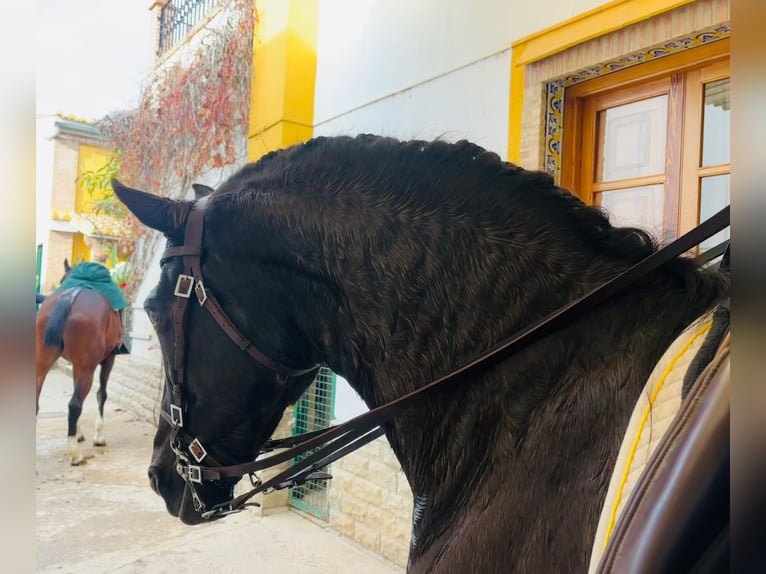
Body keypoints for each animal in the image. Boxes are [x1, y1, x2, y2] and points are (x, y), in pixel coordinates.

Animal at [36, 264, 125, 466]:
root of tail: (70, 295)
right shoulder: (108, 359)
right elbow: (101, 394)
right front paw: (98, 437)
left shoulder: (77, 366)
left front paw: (78, 433)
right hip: (88, 370)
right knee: (75, 404)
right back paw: (75, 453)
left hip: (41, 365)